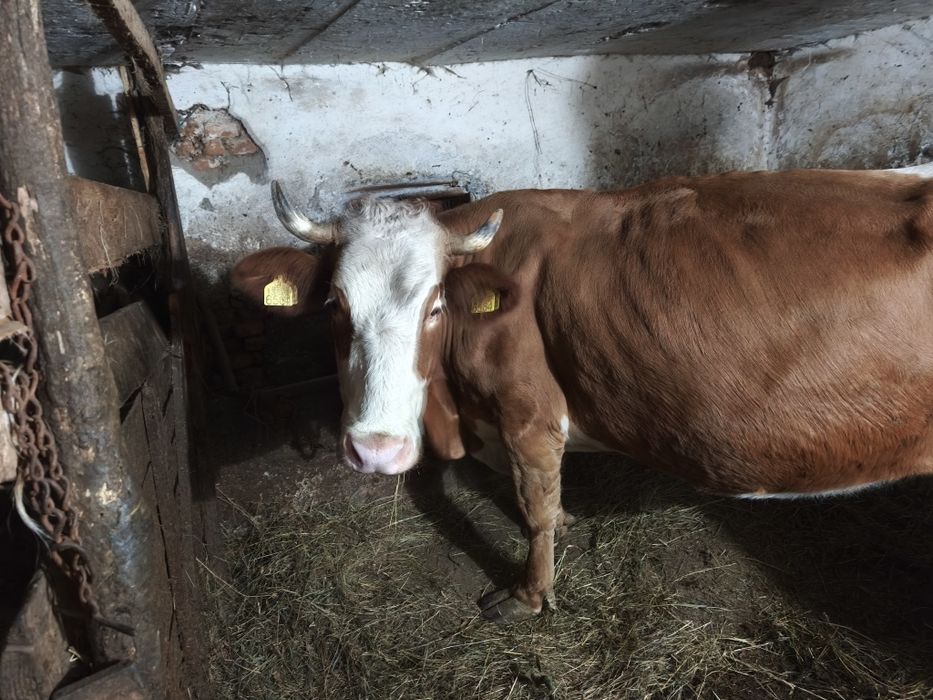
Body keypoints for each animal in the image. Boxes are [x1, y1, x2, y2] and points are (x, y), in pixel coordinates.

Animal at [231, 166, 933, 622]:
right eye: (335, 306)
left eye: (434, 307)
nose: (376, 450)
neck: (457, 419)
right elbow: (545, 497)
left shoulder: (528, 413)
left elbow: (534, 508)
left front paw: (529, 595)